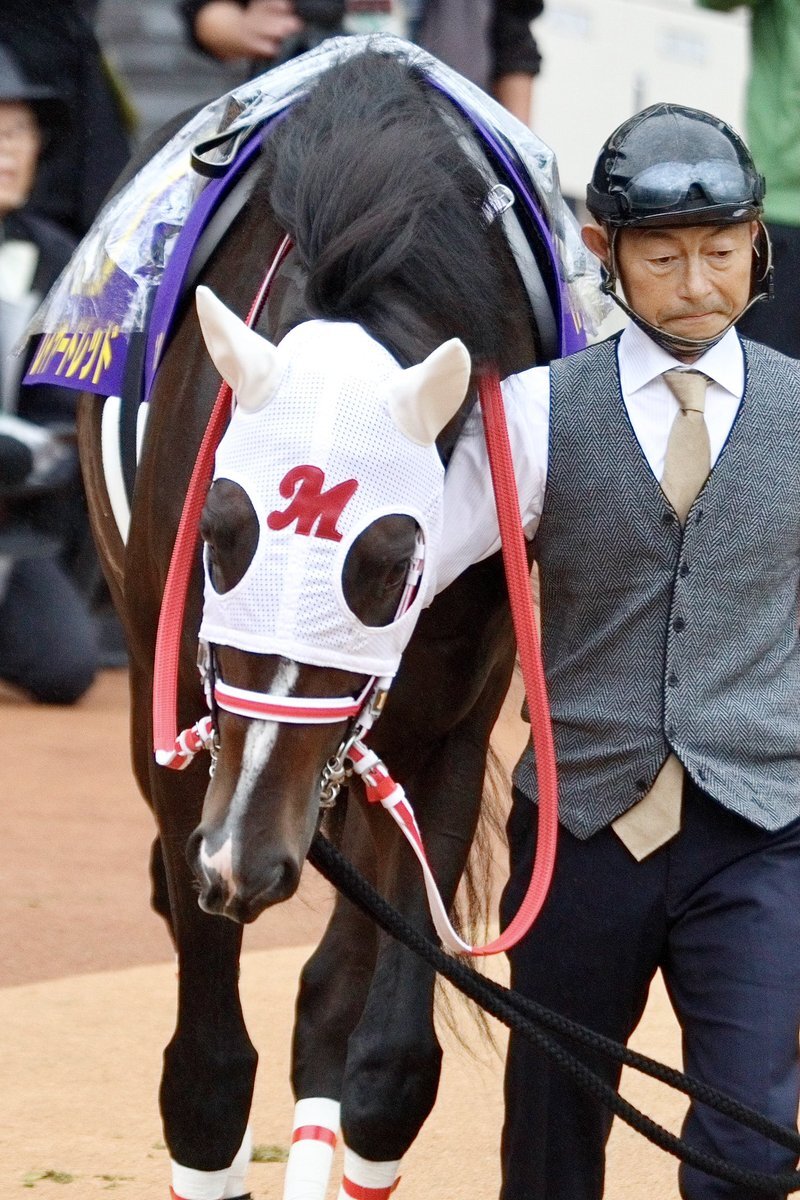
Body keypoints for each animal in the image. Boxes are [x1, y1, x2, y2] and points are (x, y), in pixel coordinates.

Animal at [74, 42, 581, 1200]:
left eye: (389, 565)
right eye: (222, 534)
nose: (242, 862)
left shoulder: (443, 725)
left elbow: (385, 1061)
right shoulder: (192, 728)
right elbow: (206, 1077)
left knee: (331, 1003)